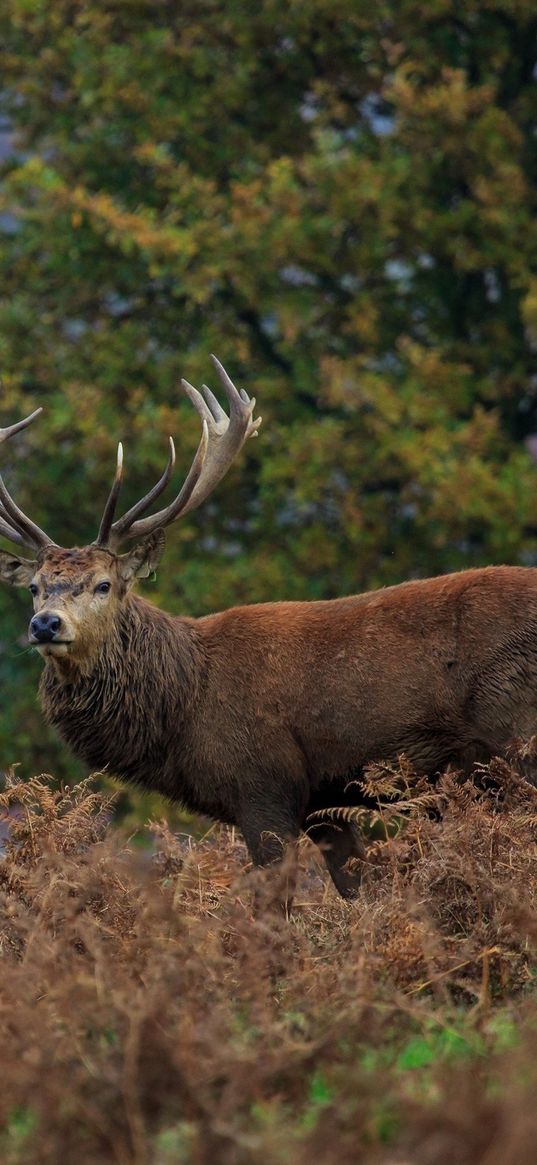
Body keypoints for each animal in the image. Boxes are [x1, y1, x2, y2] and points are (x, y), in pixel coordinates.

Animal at [0, 358, 533, 904]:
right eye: (35, 588)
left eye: (104, 584)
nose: (45, 624)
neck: (185, 707)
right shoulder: (324, 803)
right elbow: (358, 890)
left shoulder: (263, 784)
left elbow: (273, 904)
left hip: (514, 734)